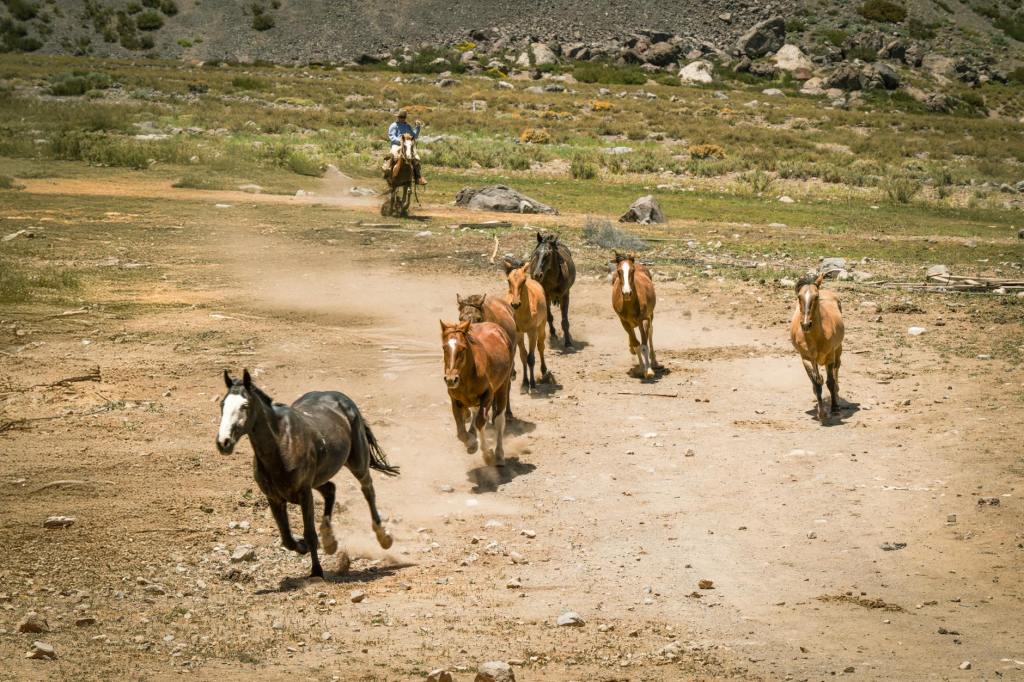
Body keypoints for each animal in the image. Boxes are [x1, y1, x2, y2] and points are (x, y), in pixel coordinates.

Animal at [216, 369, 399, 578]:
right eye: (222, 404)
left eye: (245, 405)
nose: (223, 442)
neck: (281, 445)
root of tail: (342, 399)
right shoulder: (274, 498)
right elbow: (287, 538)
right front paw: (303, 547)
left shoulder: (304, 493)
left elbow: (309, 533)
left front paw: (317, 572)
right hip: (319, 479)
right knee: (331, 490)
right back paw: (329, 541)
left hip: (358, 463)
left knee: (367, 489)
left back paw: (384, 537)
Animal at [440, 320, 513, 466]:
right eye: (444, 348)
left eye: (463, 348)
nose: (451, 379)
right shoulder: (455, 401)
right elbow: (461, 431)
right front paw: (472, 443)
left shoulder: (488, 396)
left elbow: (481, 421)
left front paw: (488, 454)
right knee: (474, 412)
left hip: (503, 386)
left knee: (499, 420)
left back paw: (499, 454)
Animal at [501, 259, 549, 391]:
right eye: (508, 280)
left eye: (523, 280)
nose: (515, 303)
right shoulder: (519, 333)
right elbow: (523, 356)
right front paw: (524, 382)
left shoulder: (532, 332)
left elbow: (531, 358)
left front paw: (532, 383)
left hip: (542, 326)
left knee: (541, 346)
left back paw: (544, 370)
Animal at [789, 273, 845, 423]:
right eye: (799, 296)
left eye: (816, 296)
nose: (806, 324)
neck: (815, 337)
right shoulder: (806, 359)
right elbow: (816, 383)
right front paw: (821, 413)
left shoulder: (830, 357)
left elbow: (830, 382)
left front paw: (835, 408)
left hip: (838, 349)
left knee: (837, 368)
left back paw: (837, 395)